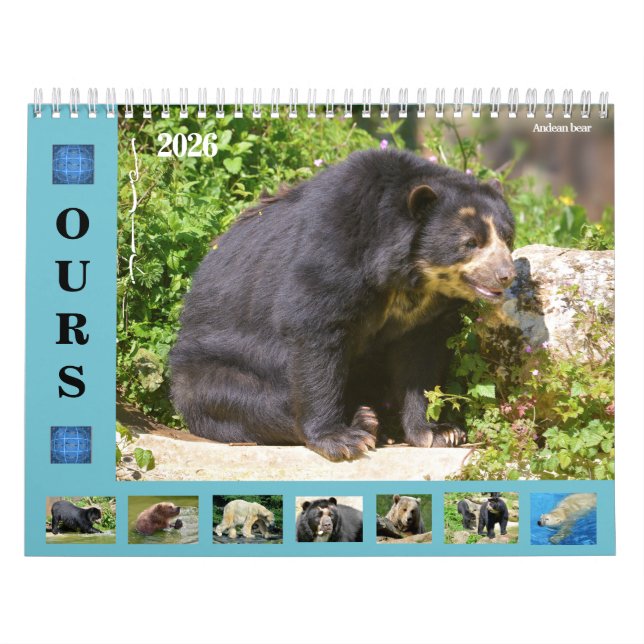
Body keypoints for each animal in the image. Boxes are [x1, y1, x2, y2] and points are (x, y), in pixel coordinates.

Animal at [170, 148, 516, 461]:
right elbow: (316, 331)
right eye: (470, 243)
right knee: (247, 400)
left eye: (507, 237)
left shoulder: (426, 315)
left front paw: (438, 432)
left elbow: (421, 359)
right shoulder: (333, 252)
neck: (408, 277)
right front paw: (340, 439)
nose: (506, 275)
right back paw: (363, 421)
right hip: (207, 370)